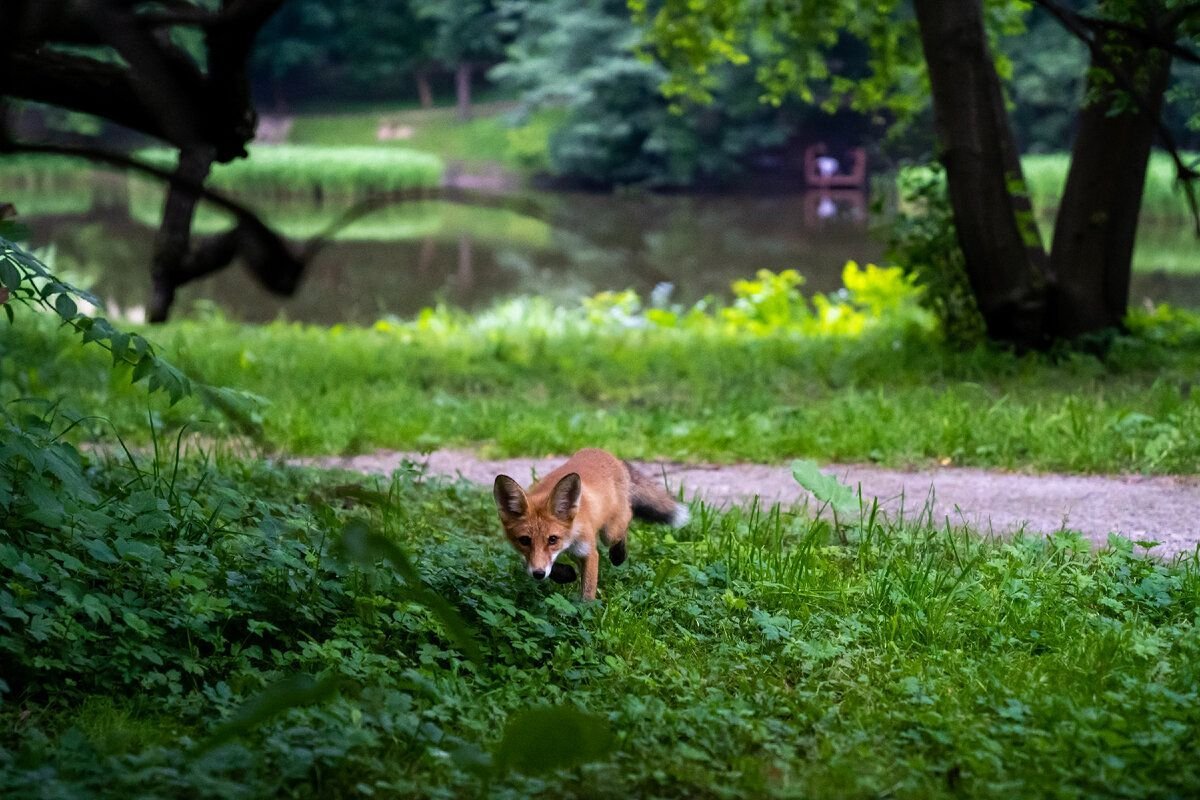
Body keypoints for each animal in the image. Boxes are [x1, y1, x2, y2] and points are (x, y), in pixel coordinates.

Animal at [492, 450, 691, 599]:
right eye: (525, 540)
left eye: (552, 539)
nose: (538, 575)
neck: (570, 536)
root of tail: (611, 456)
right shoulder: (530, 557)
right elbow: (544, 565)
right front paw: (566, 574)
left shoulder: (588, 552)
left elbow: (587, 592)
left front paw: (583, 616)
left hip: (610, 531)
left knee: (626, 520)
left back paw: (619, 554)